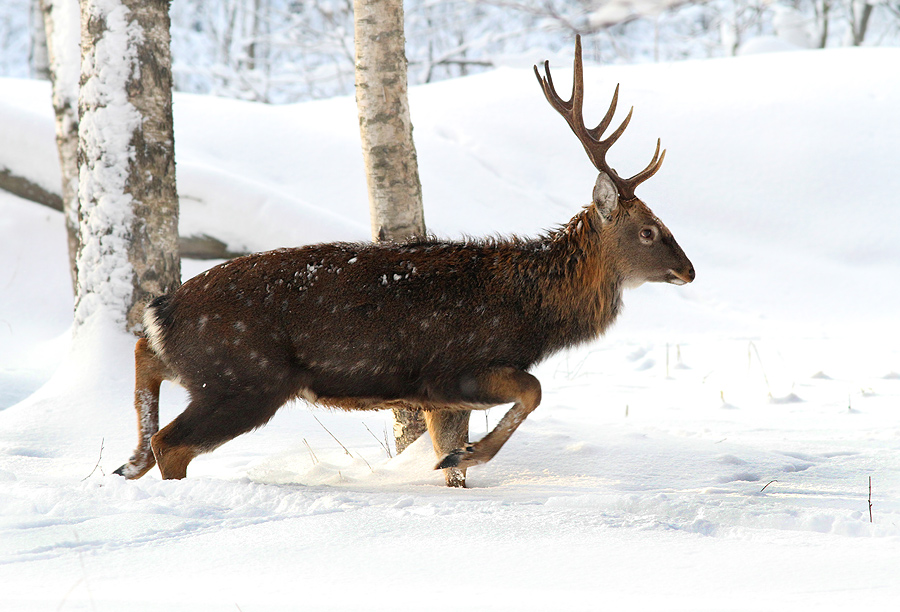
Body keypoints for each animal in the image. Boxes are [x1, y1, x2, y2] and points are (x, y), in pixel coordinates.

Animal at [110, 37, 688, 488]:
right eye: (648, 230)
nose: (689, 269)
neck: (531, 311)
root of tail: (164, 308)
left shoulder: (440, 398)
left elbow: (458, 466)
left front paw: (457, 462)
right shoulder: (453, 371)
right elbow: (533, 390)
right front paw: (466, 454)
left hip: (211, 371)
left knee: (145, 361)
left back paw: (127, 463)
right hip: (243, 378)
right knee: (173, 443)